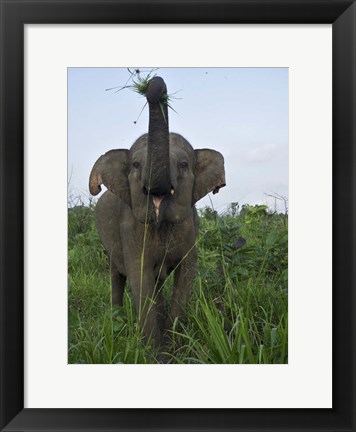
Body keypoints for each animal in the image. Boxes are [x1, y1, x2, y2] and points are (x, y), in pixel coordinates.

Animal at [89, 76, 225, 346]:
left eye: (183, 164)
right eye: (135, 165)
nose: (154, 84)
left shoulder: (190, 227)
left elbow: (185, 275)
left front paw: (173, 346)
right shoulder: (129, 229)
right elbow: (139, 279)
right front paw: (153, 350)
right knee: (117, 277)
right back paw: (117, 322)